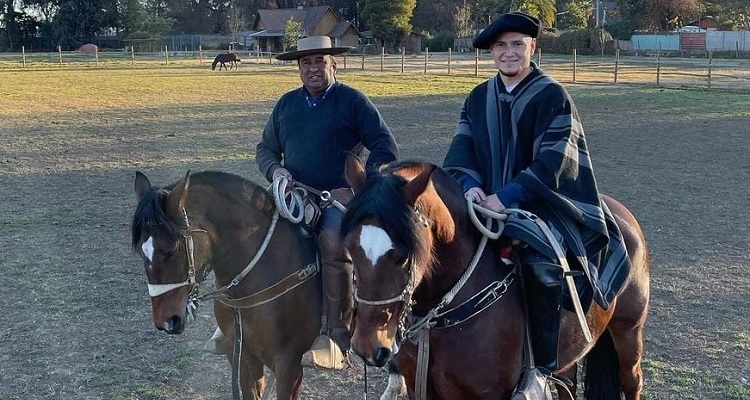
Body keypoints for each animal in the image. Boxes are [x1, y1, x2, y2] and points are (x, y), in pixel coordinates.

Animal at [342, 154, 652, 400]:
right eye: (351, 249)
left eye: (403, 257)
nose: (368, 347)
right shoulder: (420, 387)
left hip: (628, 330)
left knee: (631, 381)